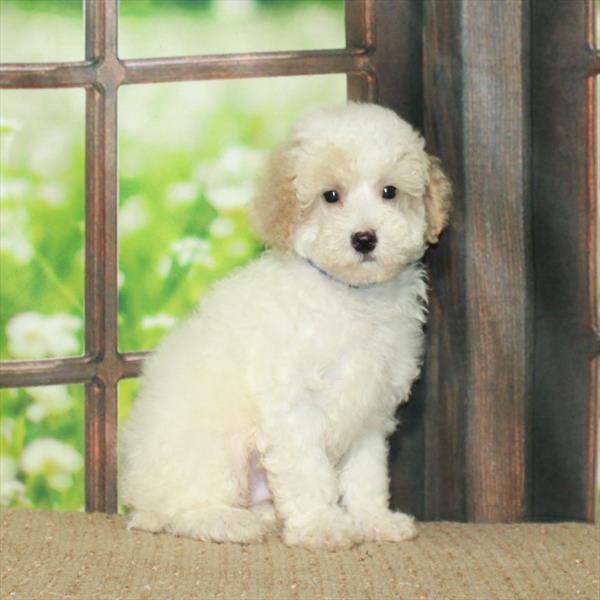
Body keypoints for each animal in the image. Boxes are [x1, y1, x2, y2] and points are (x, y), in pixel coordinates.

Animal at [120, 102, 450, 548]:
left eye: (390, 192)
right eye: (331, 195)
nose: (364, 238)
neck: (350, 295)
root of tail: (136, 493)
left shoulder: (371, 408)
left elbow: (367, 475)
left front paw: (373, 520)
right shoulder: (293, 405)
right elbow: (309, 473)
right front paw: (322, 526)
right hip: (210, 447)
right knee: (180, 511)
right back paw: (230, 522)